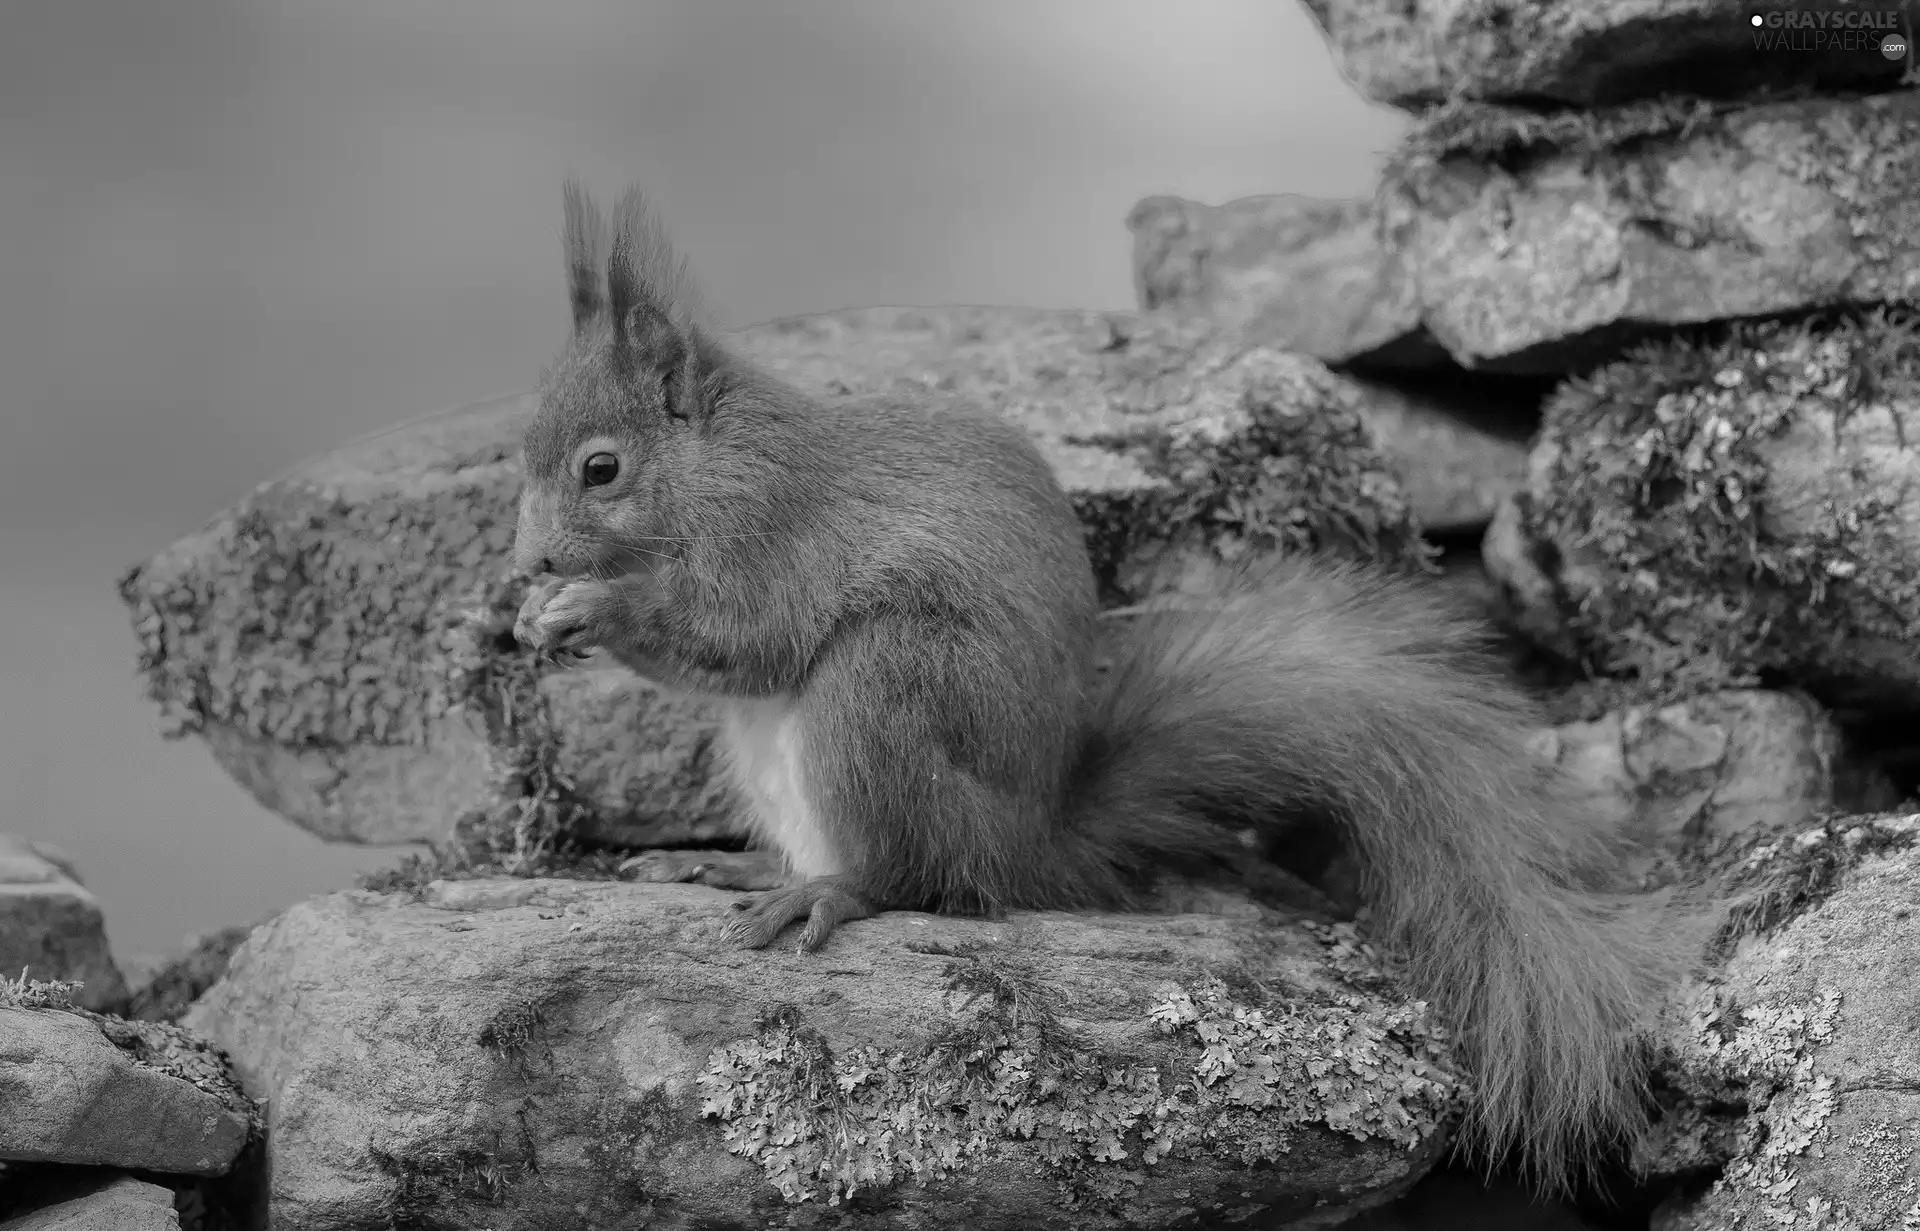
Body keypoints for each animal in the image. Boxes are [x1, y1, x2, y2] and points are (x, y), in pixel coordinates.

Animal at [514, 182, 1712, 1190]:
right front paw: (532, 615)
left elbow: (746, 635)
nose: (528, 562)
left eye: (601, 468)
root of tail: (1030, 840)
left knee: (916, 875)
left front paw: (594, 609)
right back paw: (724, 867)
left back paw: (833, 890)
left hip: (885, 689)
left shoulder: (777, 535)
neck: (715, 463)